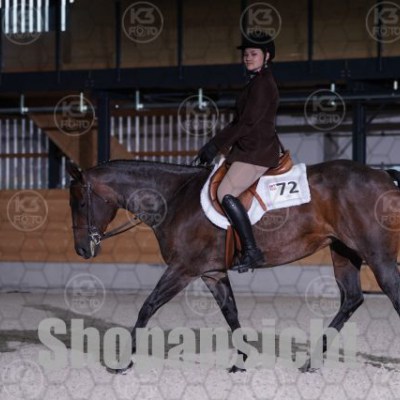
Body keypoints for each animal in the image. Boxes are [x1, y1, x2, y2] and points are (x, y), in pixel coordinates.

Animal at [67, 158, 400, 372]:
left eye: (79, 203)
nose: (82, 249)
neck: (174, 199)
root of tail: (385, 176)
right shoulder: (211, 273)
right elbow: (231, 314)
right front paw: (240, 363)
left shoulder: (183, 268)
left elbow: (147, 307)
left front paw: (122, 362)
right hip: (344, 251)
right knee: (351, 299)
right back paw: (310, 363)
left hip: (378, 257)